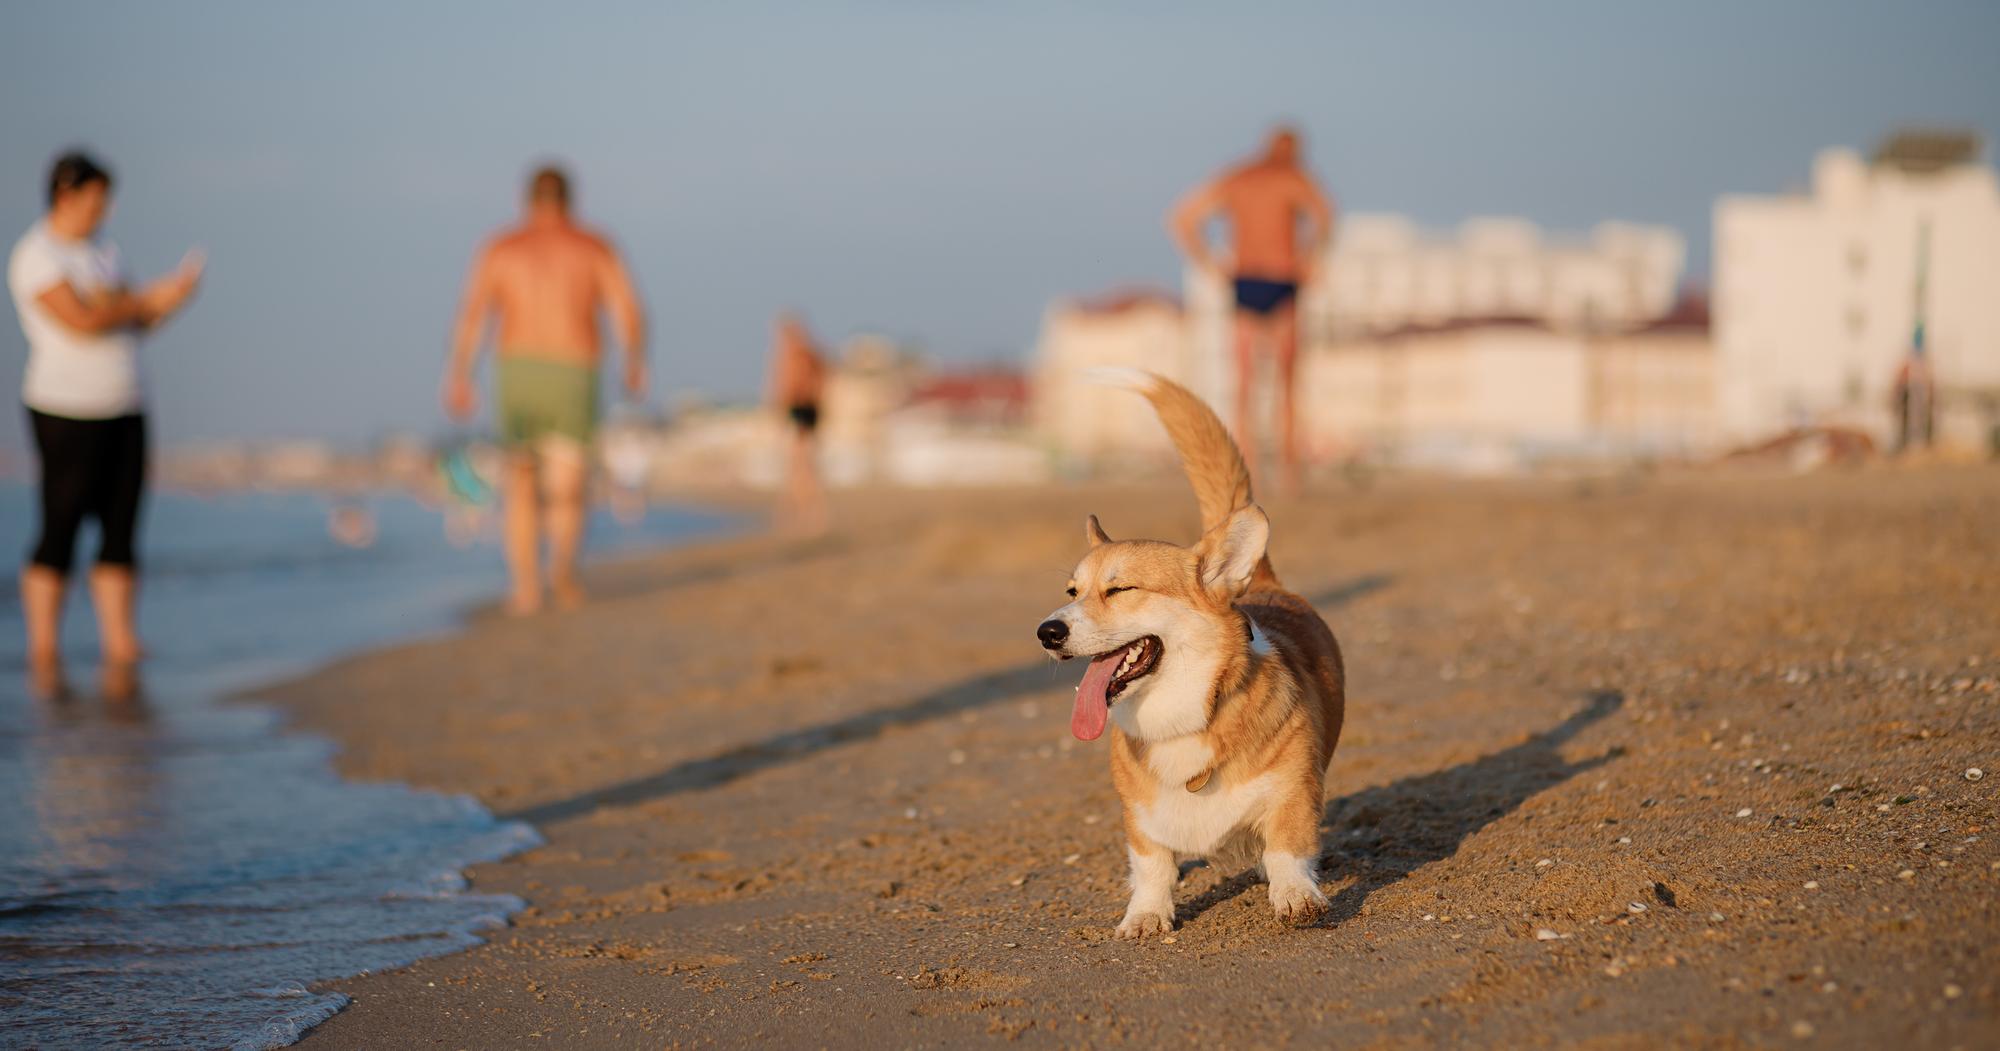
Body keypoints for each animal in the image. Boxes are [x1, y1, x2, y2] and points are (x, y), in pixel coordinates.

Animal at [1032, 371, 1344, 939]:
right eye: (1072, 592)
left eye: (1120, 590)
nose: (1046, 632)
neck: (1182, 719)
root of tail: (1259, 579)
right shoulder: (1139, 816)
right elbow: (1152, 866)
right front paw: (1145, 916)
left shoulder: (1295, 792)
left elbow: (1287, 849)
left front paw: (1296, 896)